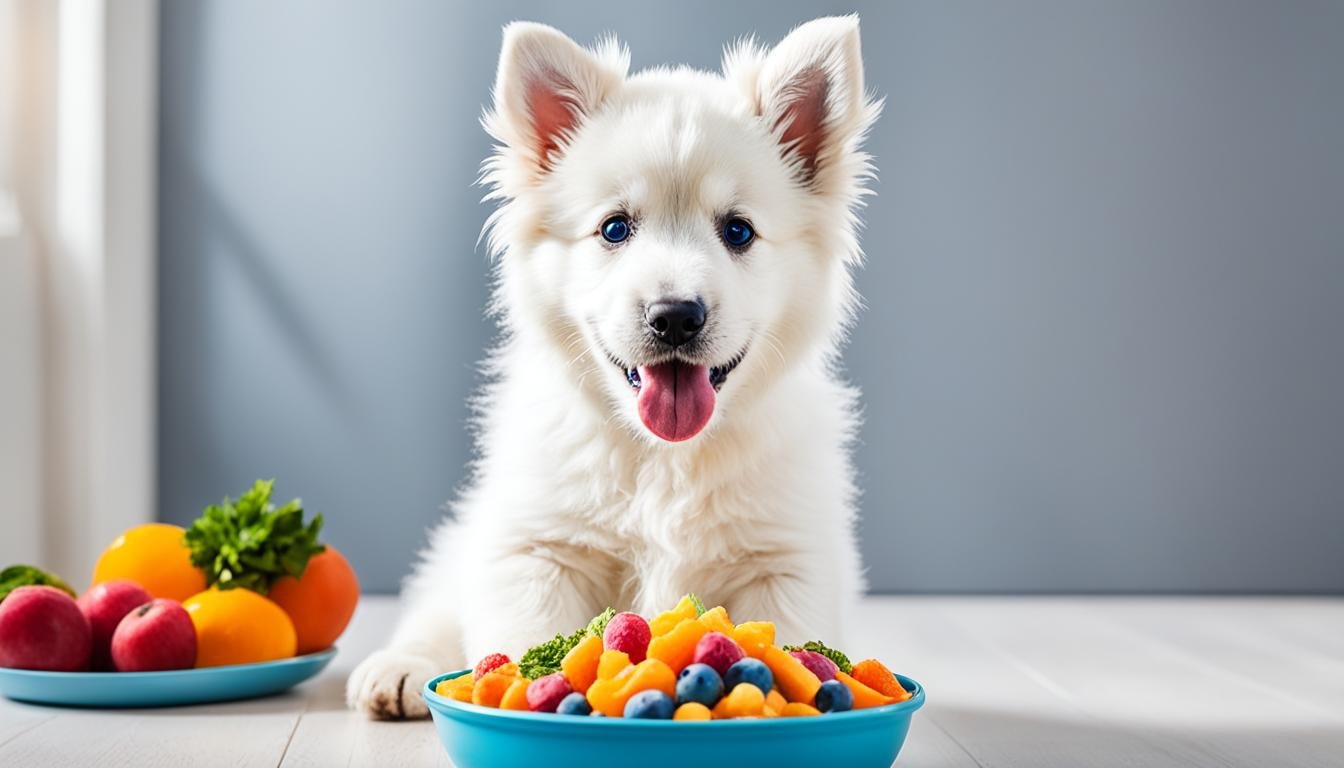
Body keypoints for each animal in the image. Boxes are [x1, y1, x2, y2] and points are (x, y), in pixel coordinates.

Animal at [349, 13, 881, 720]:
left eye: (738, 231)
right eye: (615, 228)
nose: (675, 316)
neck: (664, 460)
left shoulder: (786, 560)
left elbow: (789, 646)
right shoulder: (536, 550)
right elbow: (530, 642)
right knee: (435, 606)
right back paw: (400, 669)